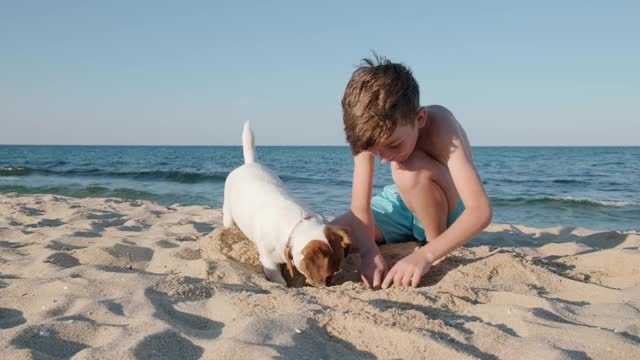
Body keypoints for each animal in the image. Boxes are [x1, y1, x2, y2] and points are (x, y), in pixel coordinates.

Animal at [221, 122, 350, 288]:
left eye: (335, 272)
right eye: (327, 275)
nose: (327, 285)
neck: (295, 227)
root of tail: (250, 163)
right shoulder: (269, 262)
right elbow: (279, 280)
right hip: (228, 213)